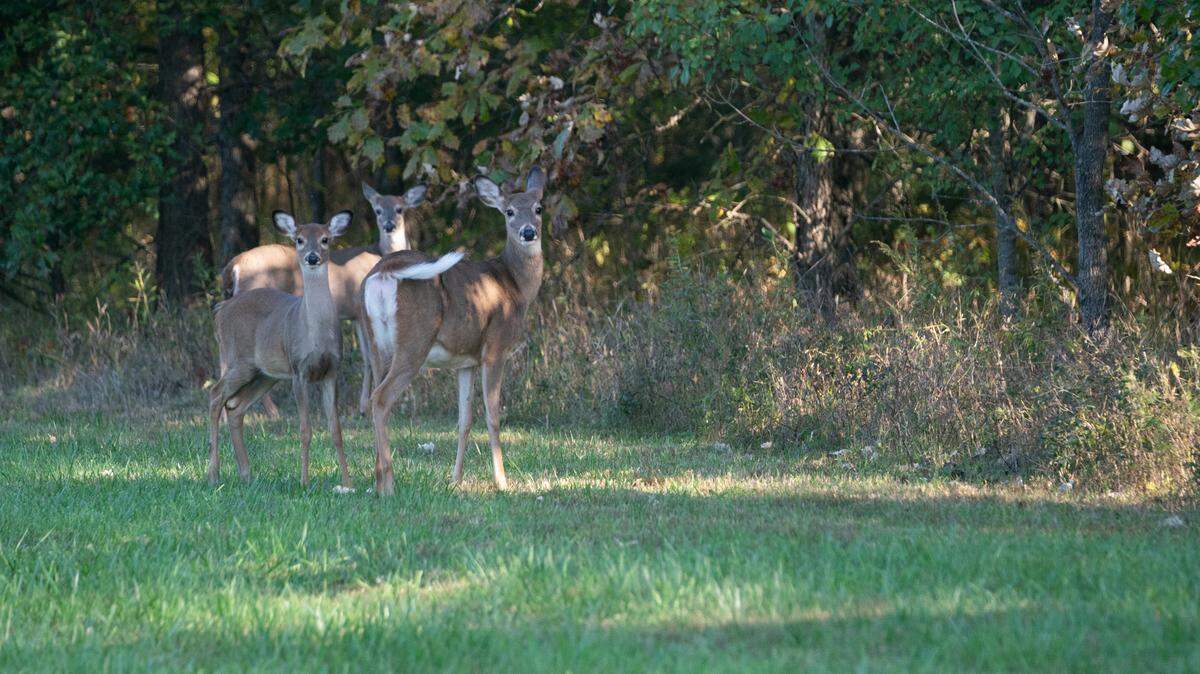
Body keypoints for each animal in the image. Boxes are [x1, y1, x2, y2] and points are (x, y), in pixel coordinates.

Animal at [207, 210, 353, 488]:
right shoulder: (299, 370)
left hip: (265, 374)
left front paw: (347, 482)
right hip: (238, 360)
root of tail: (221, 311)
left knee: (235, 406)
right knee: (216, 395)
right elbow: (305, 430)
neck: (315, 335)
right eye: (299, 239)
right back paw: (213, 472)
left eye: (325, 239)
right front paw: (304, 481)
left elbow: (336, 430)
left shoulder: (332, 371)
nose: (312, 257)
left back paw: (246, 473)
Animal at [220, 183, 427, 418]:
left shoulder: (353, 315)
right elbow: (369, 357)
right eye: (378, 210)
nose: (389, 225)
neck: (380, 252)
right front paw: (371, 406)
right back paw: (271, 412)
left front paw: (365, 405)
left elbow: (366, 357)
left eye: (400, 209)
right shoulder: (359, 310)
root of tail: (232, 267)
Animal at [360, 167, 548, 495]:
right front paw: (502, 482)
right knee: (381, 399)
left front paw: (455, 480)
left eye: (538, 208)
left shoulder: (465, 361)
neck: (514, 286)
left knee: (375, 397)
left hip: (376, 344)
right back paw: (389, 486)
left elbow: (464, 420)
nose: (528, 232)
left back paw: (376, 481)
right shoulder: (495, 348)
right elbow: (493, 415)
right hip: (414, 343)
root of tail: (385, 271)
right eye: (509, 212)